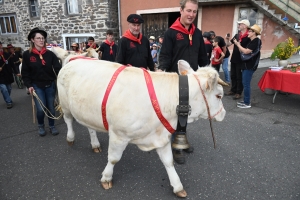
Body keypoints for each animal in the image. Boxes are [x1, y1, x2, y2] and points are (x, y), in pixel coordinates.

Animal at [56, 59, 226, 197]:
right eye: (219, 95)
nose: (223, 114)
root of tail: (73, 60)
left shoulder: (161, 136)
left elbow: (169, 162)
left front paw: (178, 186)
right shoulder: (119, 135)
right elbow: (113, 158)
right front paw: (106, 178)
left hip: (87, 111)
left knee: (89, 127)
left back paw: (95, 144)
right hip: (65, 104)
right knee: (68, 120)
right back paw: (70, 138)